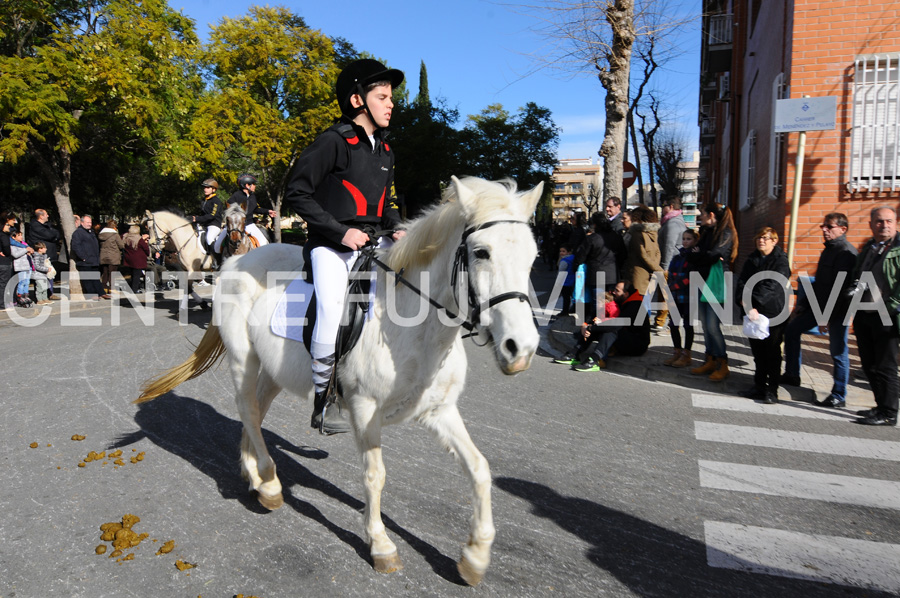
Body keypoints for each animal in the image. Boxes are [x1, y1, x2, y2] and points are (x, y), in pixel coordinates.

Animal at [134, 177, 540, 584]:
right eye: (482, 252)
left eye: (534, 256)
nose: (521, 349)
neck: (415, 329)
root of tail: (235, 260)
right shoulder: (364, 410)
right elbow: (375, 476)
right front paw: (381, 544)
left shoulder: (440, 410)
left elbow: (480, 469)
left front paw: (476, 555)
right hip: (243, 358)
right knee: (247, 409)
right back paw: (270, 483)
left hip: (275, 370)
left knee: (257, 412)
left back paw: (255, 475)